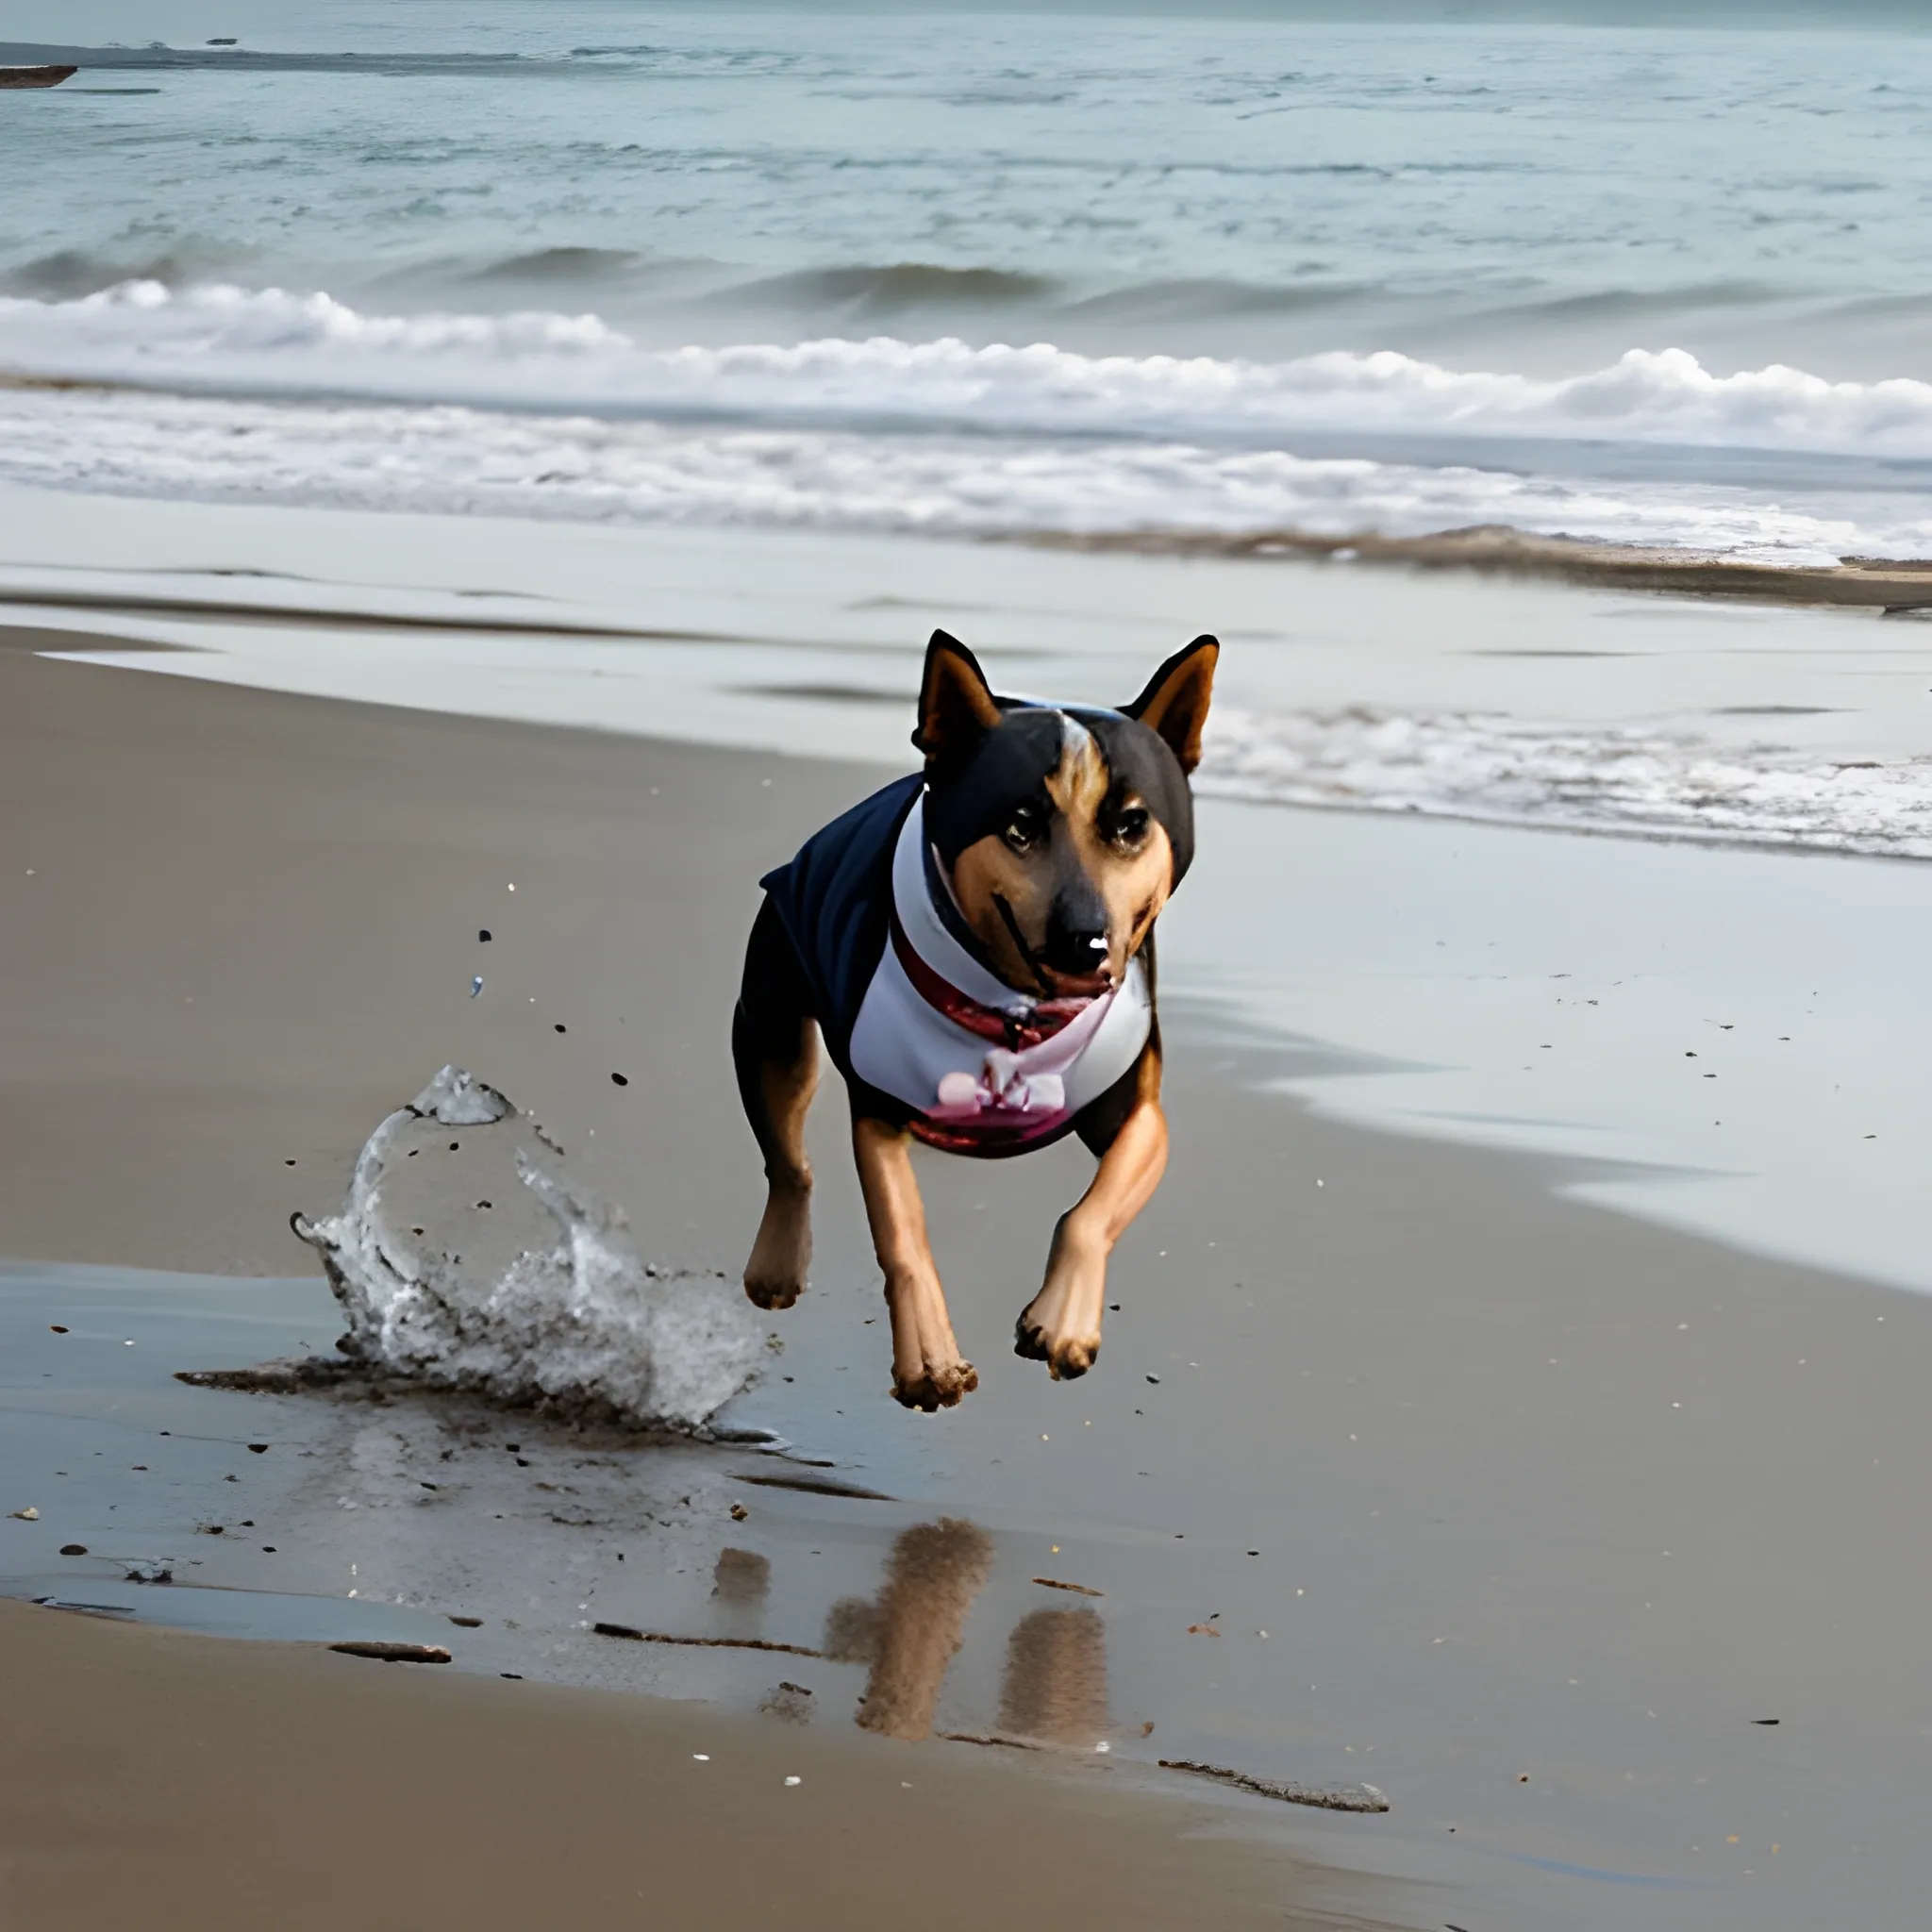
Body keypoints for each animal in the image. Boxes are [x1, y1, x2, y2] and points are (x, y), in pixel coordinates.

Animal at [730, 629, 1213, 1406]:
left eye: (1131, 825)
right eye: (1019, 827)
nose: (1086, 941)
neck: (1015, 1011)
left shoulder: (1134, 1103)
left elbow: (1094, 1209)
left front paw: (1063, 1323)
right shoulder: (879, 1106)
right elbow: (903, 1236)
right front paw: (929, 1360)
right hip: (770, 1007)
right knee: (787, 1152)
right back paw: (775, 1262)